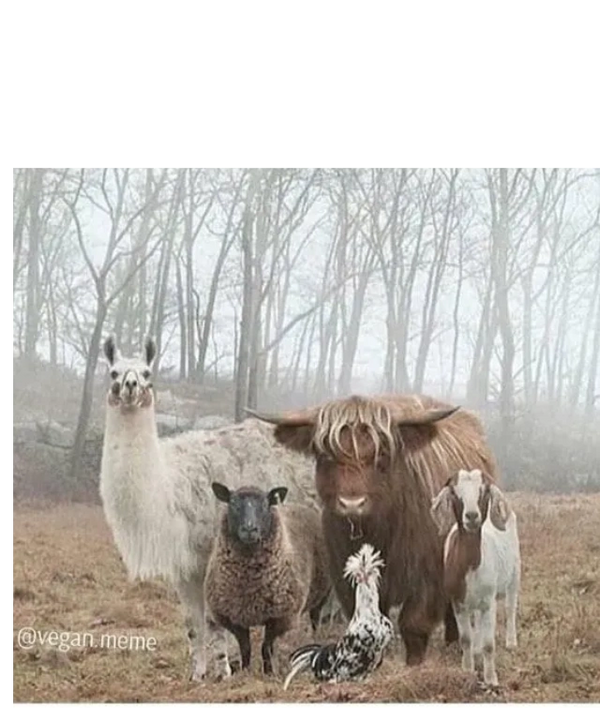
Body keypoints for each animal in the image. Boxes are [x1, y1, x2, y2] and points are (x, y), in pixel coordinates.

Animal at [204, 482, 332, 675]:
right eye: (233, 503)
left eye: (265, 504)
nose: (250, 529)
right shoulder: (233, 618)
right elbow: (246, 648)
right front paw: (245, 671)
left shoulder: (279, 617)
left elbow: (266, 647)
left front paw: (269, 672)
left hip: (322, 593)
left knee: (315, 619)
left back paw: (314, 639)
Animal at [430, 468, 521, 687]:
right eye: (454, 492)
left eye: (484, 491)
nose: (472, 516)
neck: (470, 564)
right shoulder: (458, 601)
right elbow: (465, 639)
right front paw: (467, 670)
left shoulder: (489, 601)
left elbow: (489, 644)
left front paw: (491, 679)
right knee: (477, 620)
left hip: (515, 572)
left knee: (510, 607)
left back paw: (511, 642)